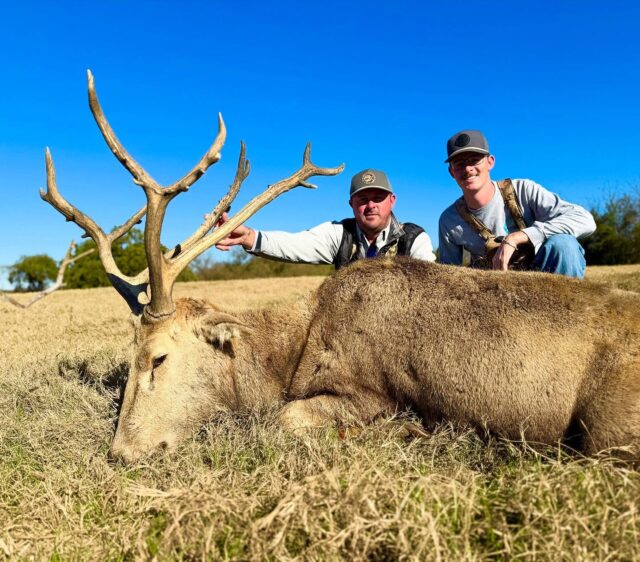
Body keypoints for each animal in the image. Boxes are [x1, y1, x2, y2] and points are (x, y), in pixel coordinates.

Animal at [43, 72, 640, 464]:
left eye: (159, 357)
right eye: (129, 357)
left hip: (609, 428)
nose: (121, 452)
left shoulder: (370, 391)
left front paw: (409, 435)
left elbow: (285, 420)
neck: (292, 352)